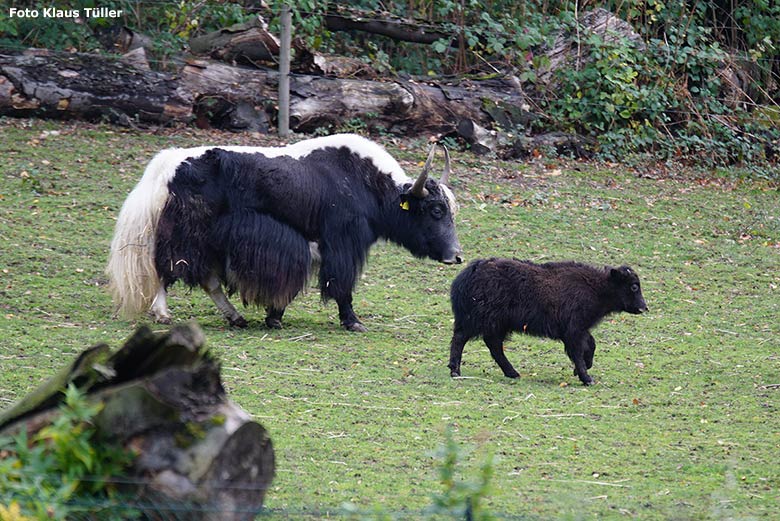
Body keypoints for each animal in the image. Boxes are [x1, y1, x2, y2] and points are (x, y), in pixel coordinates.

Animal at [448, 256, 648, 384]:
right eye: (634, 286)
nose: (644, 308)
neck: (597, 287)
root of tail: (470, 272)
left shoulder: (579, 329)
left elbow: (591, 345)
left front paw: (580, 370)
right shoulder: (574, 330)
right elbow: (579, 351)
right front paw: (586, 378)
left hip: (496, 325)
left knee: (493, 346)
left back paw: (513, 373)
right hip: (479, 321)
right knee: (460, 339)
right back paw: (455, 371)